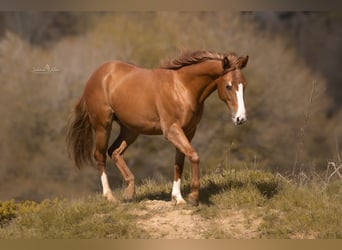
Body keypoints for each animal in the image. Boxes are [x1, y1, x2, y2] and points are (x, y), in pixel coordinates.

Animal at [66, 50, 248, 205]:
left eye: (244, 85)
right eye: (228, 86)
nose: (240, 118)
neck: (182, 88)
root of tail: (97, 74)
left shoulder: (188, 132)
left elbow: (179, 162)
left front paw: (178, 198)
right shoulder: (171, 130)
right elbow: (194, 156)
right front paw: (194, 197)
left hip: (131, 129)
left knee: (115, 151)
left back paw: (130, 191)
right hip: (103, 126)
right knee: (100, 155)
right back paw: (109, 196)